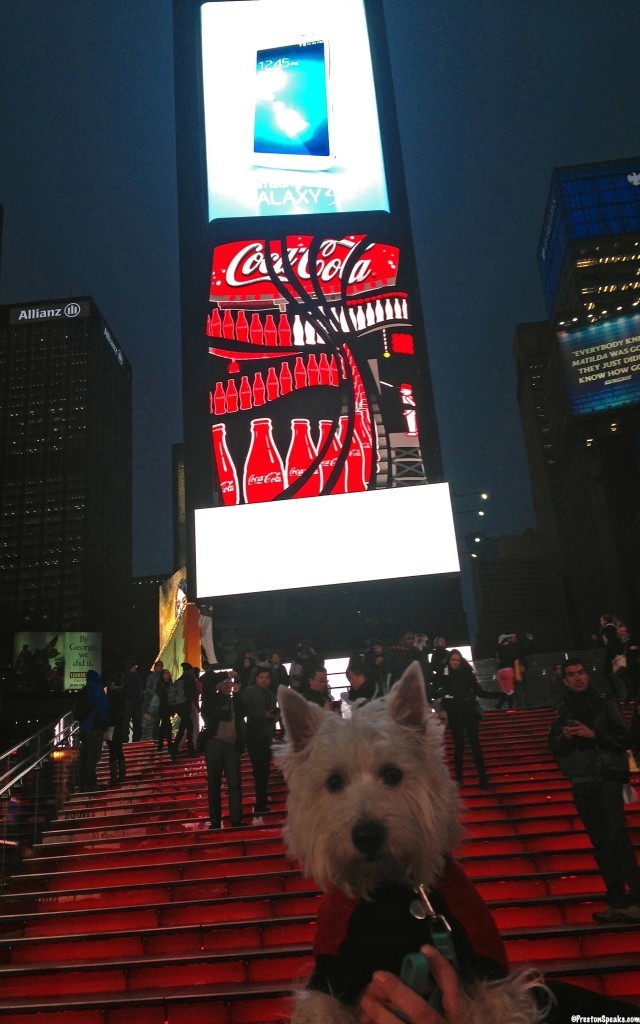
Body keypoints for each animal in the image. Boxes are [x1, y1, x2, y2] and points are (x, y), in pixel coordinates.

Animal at [276, 663, 544, 1024]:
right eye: (333, 782)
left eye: (392, 774)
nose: (367, 836)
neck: (391, 891)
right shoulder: (330, 977)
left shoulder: (487, 969)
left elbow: (495, 1008)